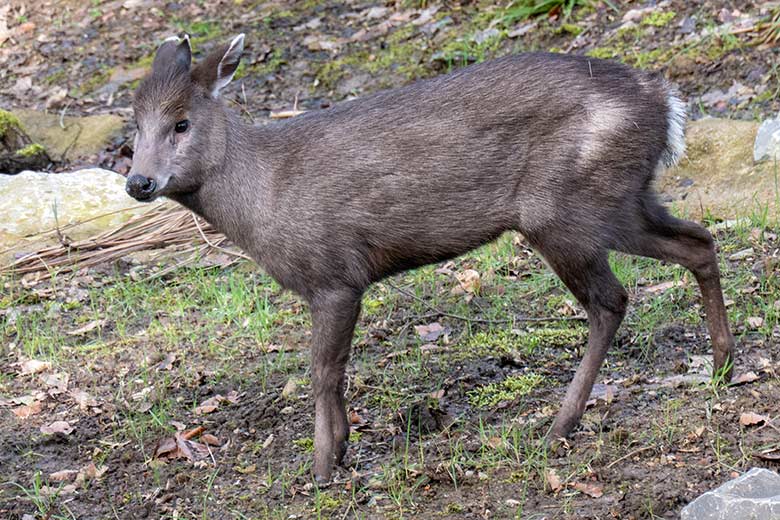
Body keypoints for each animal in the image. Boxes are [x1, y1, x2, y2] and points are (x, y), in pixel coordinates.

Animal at [125, 33, 736, 484]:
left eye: (181, 123)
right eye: (134, 126)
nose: (138, 182)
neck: (264, 197)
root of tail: (666, 103)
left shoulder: (336, 275)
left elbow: (323, 370)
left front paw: (322, 466)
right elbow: (334, 372)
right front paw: (340, 449)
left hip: (562, 210)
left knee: (611, 300)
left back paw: (560, 424)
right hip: (621, 200)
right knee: (699, 241)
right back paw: (722, 365)